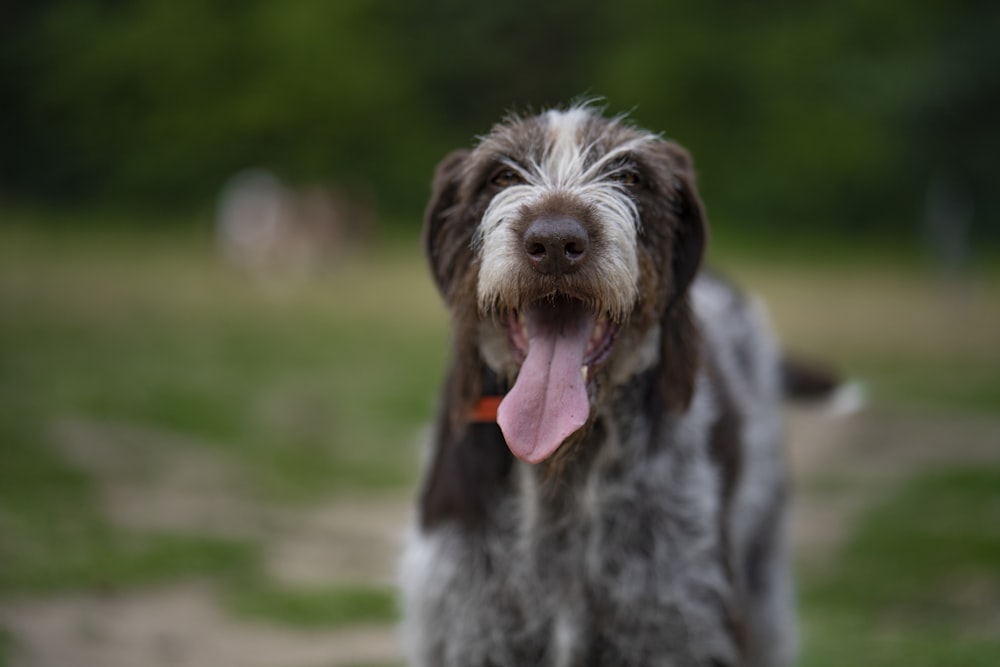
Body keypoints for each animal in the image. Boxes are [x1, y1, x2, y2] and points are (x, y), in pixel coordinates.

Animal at [396, 105, 820, 667]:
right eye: (501, 176)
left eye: (631, 177)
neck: (563, 476)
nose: (555, 242)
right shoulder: (469, 631)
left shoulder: (680, 627)